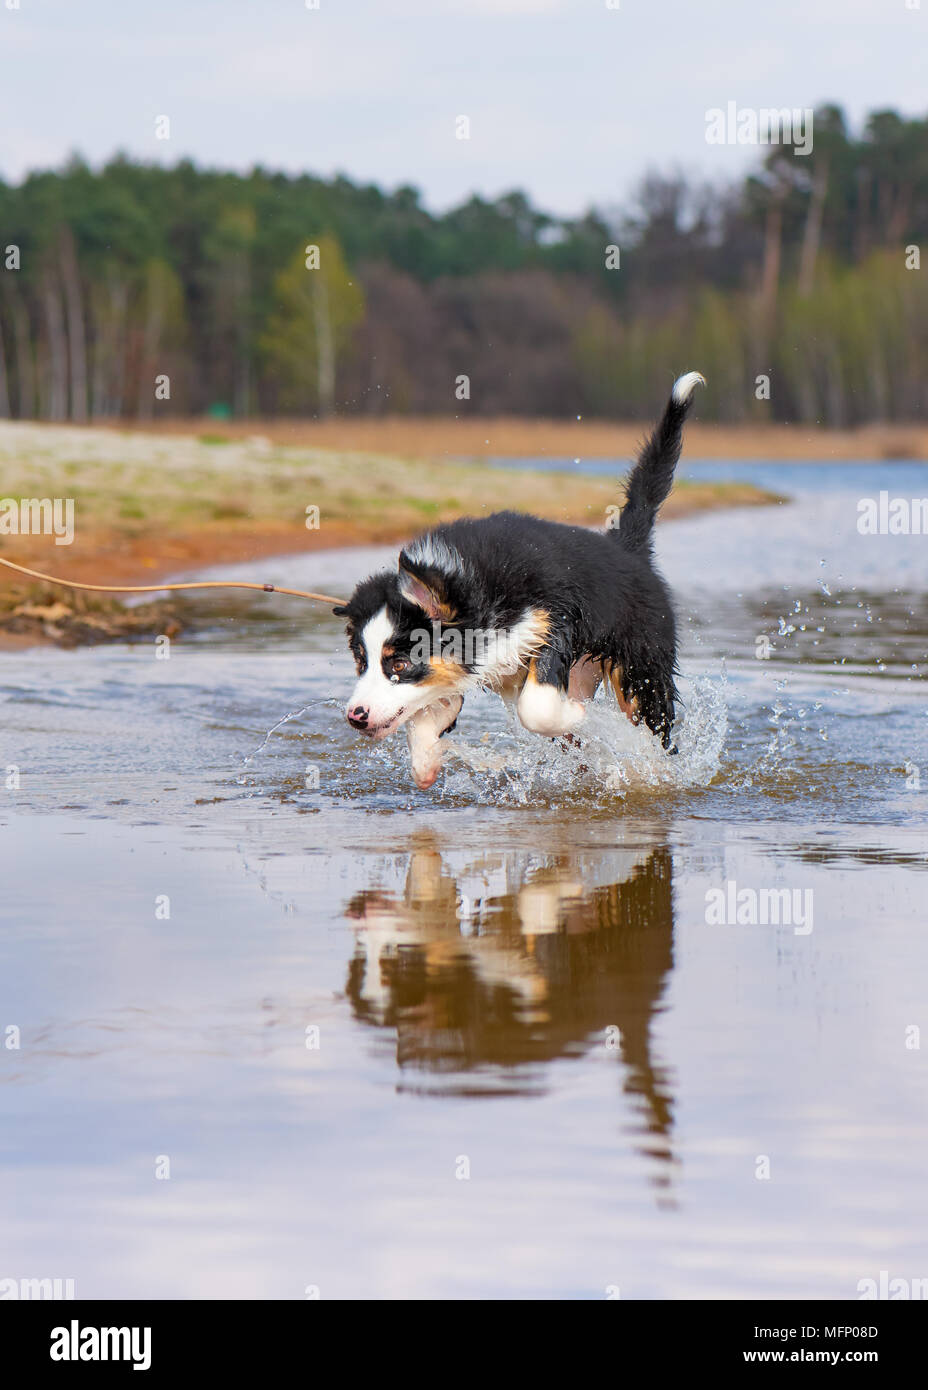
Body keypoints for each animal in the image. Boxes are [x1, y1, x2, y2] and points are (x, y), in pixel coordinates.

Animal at [333, 369, 702, 789]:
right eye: (360, 660)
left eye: (397, 664)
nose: (355, 716)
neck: (472, 587)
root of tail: (626, 548)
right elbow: (431, 709)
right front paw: (426, 763)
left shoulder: (554, 618)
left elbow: (536, 708)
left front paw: (578, 714)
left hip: (643, 673)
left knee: (657, 735)